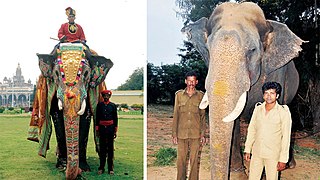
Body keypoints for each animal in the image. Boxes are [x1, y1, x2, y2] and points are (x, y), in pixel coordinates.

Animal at [27, 43, 114, 179]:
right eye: (56, 73)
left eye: (86, 74)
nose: (78, 172)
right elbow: (57, 117)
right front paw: (62, 165)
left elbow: (85, 118)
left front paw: (84, 167)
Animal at [181, 2, 306, 179]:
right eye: (208, 50)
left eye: (252, 50)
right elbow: (234, 122)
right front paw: (237, 172)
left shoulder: (278, 72)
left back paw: (290, 164)